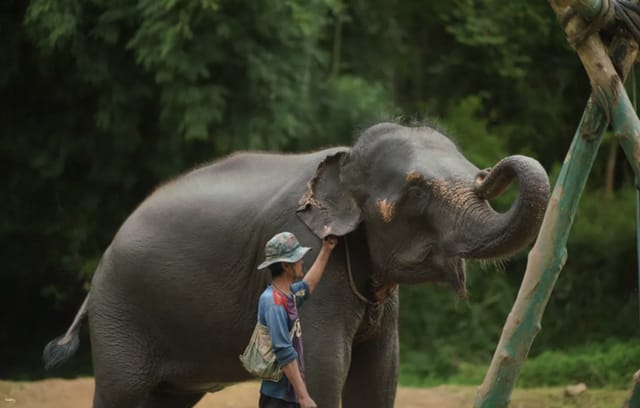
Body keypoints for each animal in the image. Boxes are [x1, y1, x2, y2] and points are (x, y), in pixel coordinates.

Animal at [43, 122, 552, 408]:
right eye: (416, 191)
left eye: (474, 173)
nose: (493, 171)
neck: (345, 159)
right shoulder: (307, 249)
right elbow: (321, 374)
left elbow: (380, 377)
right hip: (121, 316)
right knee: (119, 395)